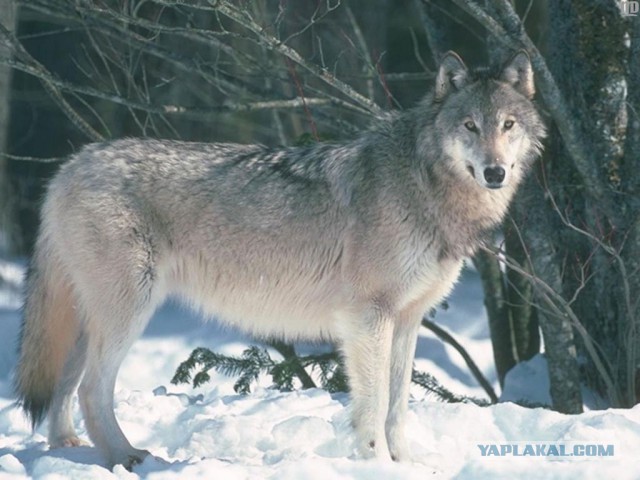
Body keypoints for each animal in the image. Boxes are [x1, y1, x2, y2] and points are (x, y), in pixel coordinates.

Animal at [15, 50, 544, 469]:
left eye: (508, 125)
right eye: (469, 126)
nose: (495, 172)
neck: (424, 184)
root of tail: (70, 165)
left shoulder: (408, 320)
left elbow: (398, 407)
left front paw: (408, 465)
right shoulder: (368, 318)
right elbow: (373, 406)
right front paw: (376, 464)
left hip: (89, 320)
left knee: (64, 384)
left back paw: (68, 449)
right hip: (129, 312)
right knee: (91, 389)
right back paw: (127, 458)